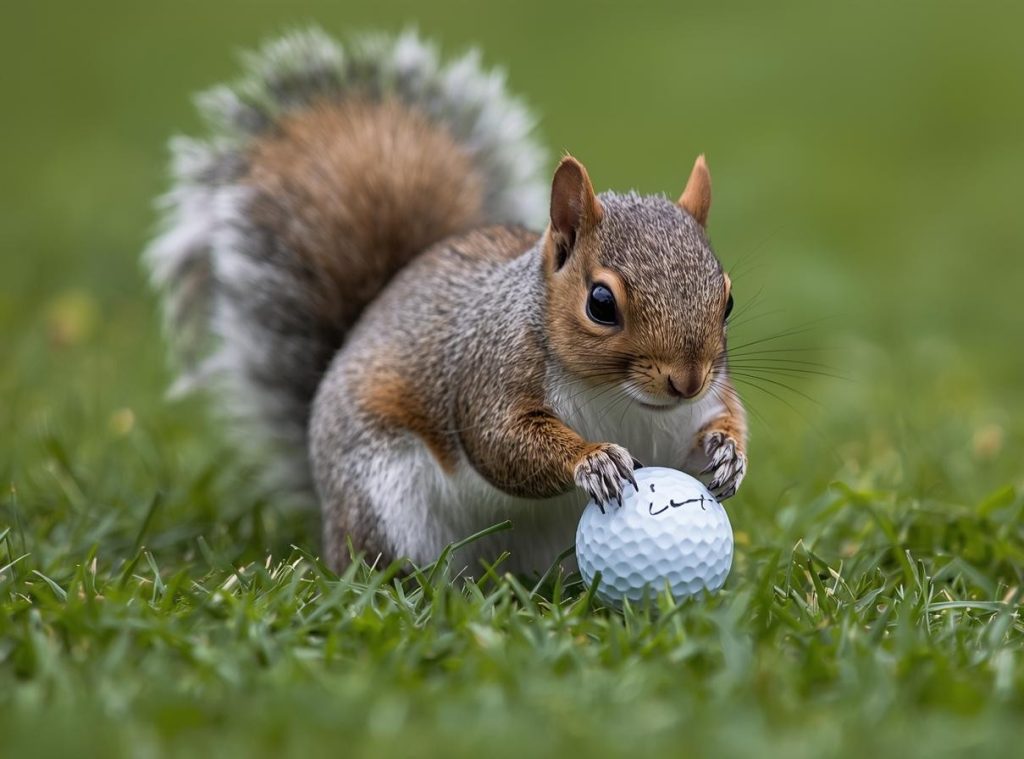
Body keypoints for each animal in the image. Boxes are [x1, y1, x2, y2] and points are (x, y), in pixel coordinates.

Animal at [146, 28, 747, 574]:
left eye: (727, 301)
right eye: (601, 303)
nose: (686, 380)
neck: (623, 402)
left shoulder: (693, 411)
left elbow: (714, 426)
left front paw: (728, 453)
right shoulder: (490, 376)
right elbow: (503, 445)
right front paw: (592, 460)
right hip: (384, 496)